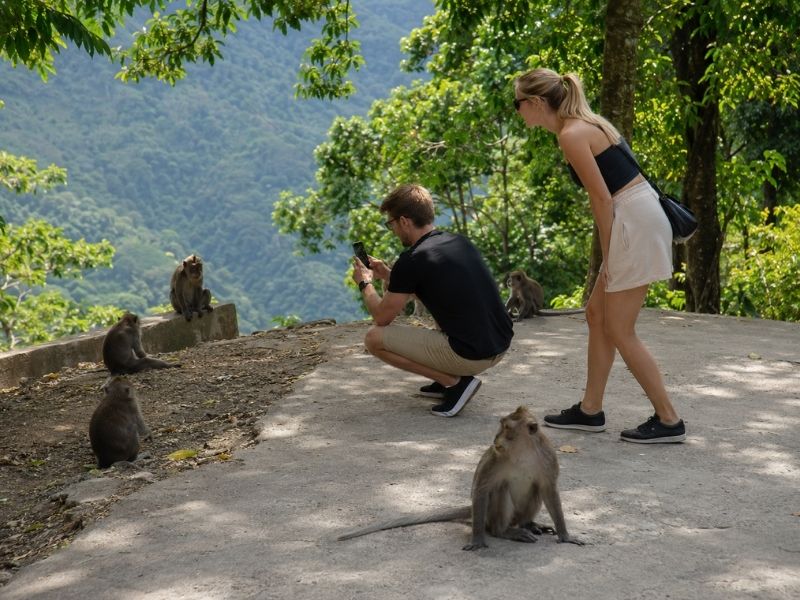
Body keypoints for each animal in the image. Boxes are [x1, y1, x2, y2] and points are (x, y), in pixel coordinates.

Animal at [336, 406, 584, 550]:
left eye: (506, 428)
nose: (495, 438)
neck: (522, 451)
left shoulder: (547, 458)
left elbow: (548, 488)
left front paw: (565, 535)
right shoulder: (495, 457)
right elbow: (482, 488)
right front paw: (477, 540)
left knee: (535, 489)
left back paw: (528, 524)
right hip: (490, 515)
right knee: (500, 491)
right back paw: (505, 532)